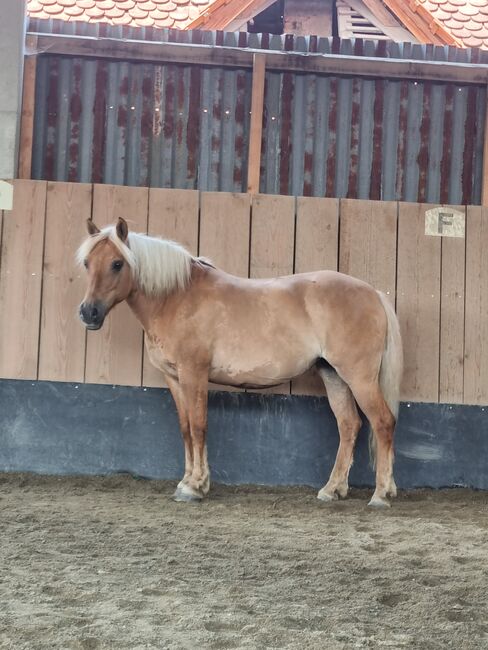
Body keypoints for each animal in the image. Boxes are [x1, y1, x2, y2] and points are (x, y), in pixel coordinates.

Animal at [77, 216, 404, 506]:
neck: (177, 298)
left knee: (382, 422)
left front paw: (195, 487)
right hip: (333, 375)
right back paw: (332, 490)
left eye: (117, 263)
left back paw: (381, 495)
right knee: (349, 425)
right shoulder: (174, 378)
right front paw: (185, 482)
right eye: (87, 263)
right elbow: (185, 428)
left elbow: (198, 425)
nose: (88, 313)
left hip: (359, 377)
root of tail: (373, 293)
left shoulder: (194, 373)